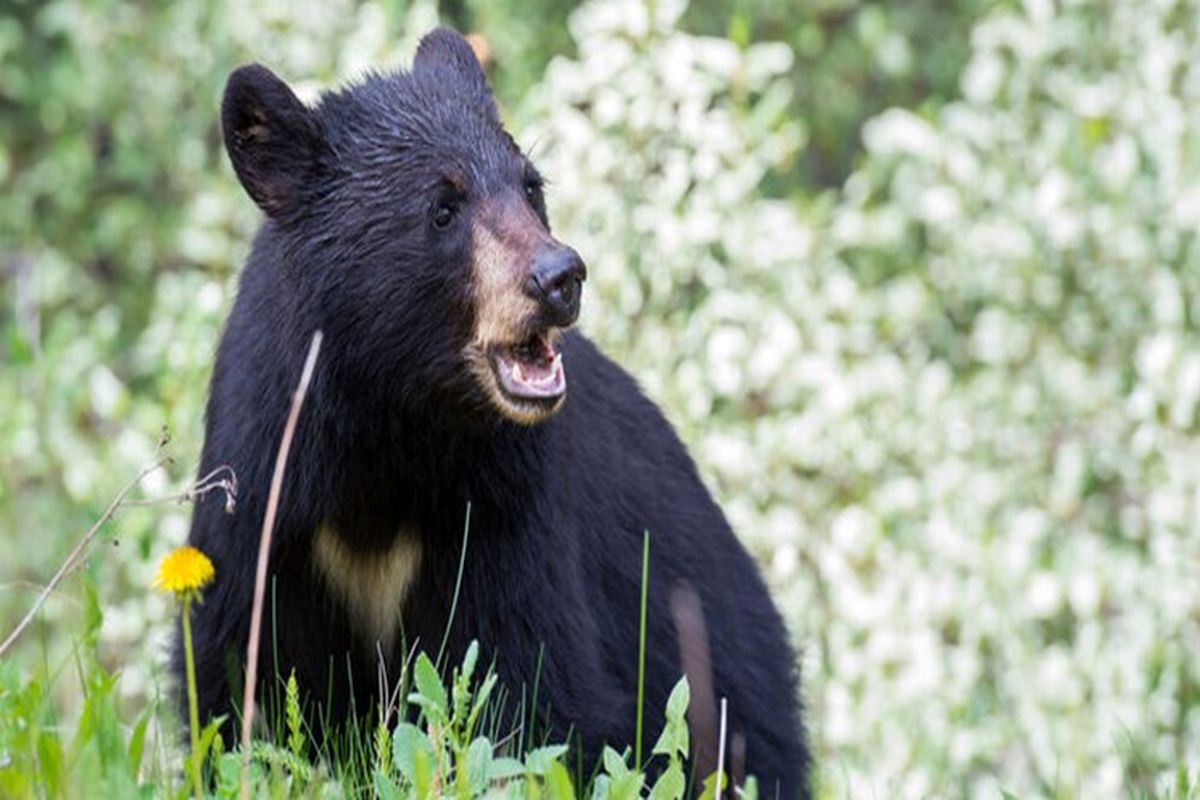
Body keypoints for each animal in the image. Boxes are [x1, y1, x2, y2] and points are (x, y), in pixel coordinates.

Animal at [177, 28, 811, 796]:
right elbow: (241, 681)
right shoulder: (269, 493)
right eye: (442, 209)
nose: (559, 277)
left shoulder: (505, 505)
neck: (390, 422)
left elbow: (525, 688)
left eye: (530, 186)